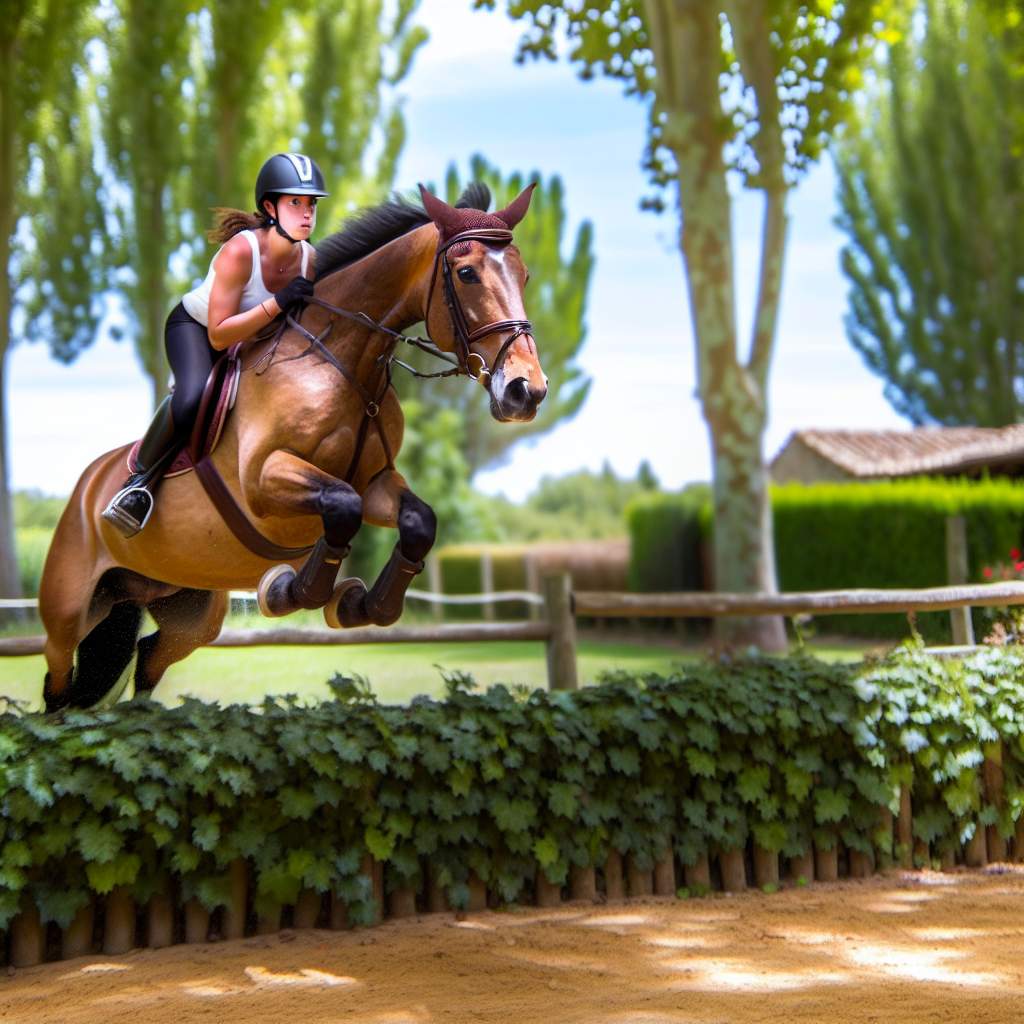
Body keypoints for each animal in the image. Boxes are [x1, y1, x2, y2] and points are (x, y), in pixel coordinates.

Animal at [37, 184, 552, 712]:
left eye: (524, 275)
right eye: (466, 273)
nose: (525, 391)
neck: (341, 362)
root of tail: (86, 487)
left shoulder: (377, 484)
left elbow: (417, 521)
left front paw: (362, 605)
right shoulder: (264, 480)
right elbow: (341, 507)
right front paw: (286, 589)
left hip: (187, 609)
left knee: (149, 656)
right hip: (69, 610)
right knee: (58, 684)